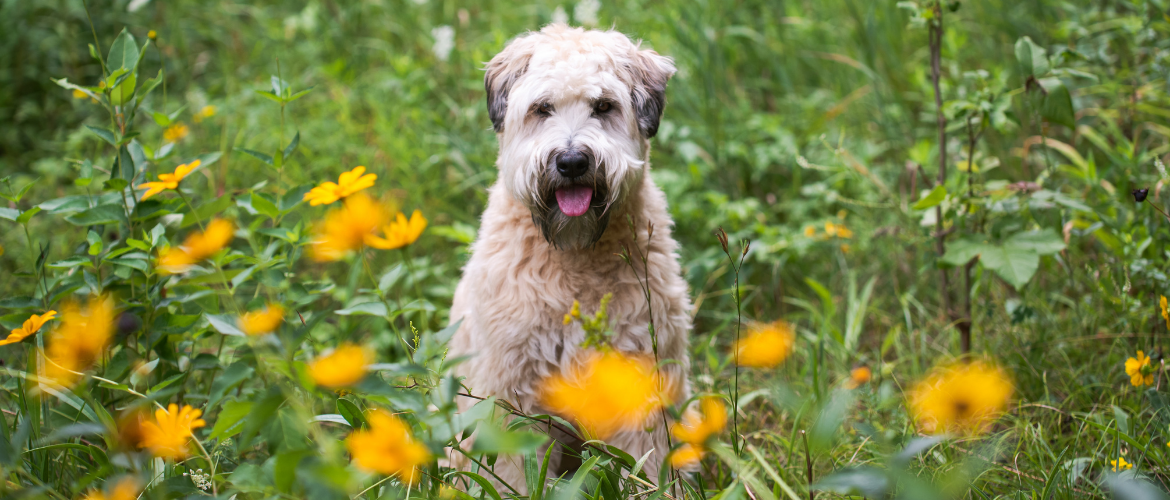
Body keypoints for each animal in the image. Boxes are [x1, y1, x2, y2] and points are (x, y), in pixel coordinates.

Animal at [442, 23, 687, 489]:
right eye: (543, 108)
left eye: (604, 106)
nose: (572, 162)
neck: (575, 259)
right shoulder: (511, 391)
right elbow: (512, 473)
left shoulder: (638, 379)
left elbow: (646, 464)